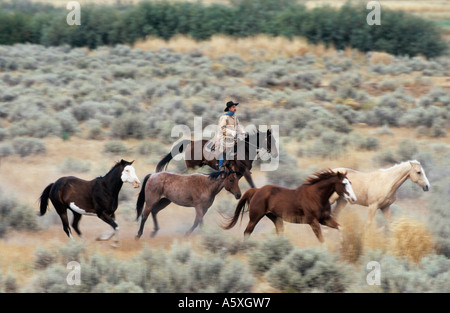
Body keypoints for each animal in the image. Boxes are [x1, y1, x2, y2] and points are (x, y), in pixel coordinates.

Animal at [223, 169, 356, 243]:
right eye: (343, 184)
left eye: (350, 182)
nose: (353, 199)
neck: (316, 196)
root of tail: (257, 190)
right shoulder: (313, 222)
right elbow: (321, 239)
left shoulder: (325, 219)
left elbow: (340, 228)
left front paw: (342, 244)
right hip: (255, 218)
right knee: (247, 232)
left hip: (275, 218)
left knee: (279, 233)